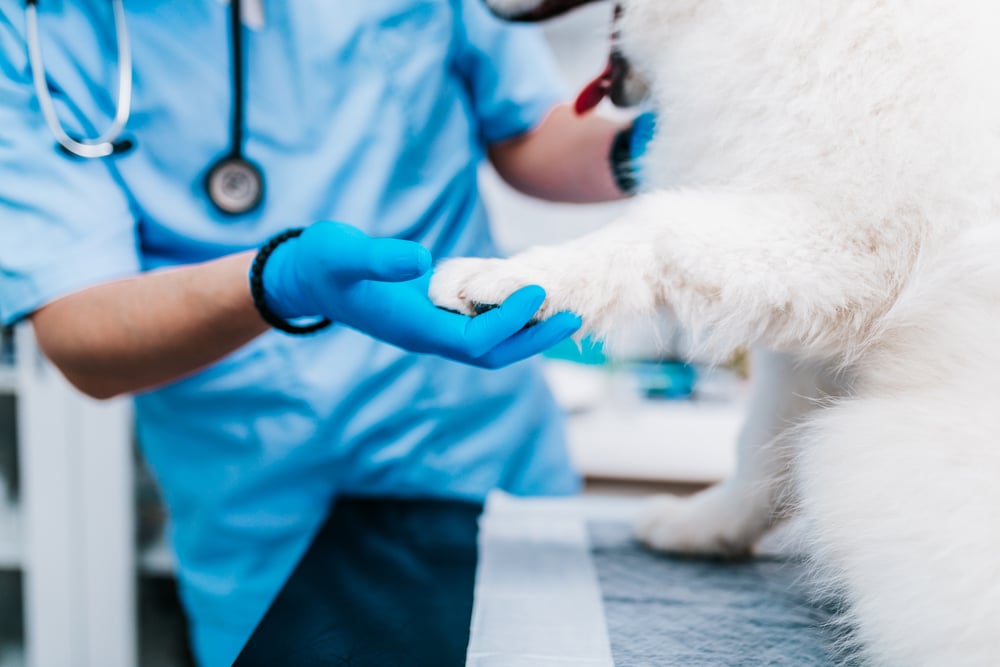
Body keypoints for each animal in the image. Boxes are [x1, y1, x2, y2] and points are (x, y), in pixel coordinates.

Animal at [432, 1, 1000, 667]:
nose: (474, 10)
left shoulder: (845, 243)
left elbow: (653, 226)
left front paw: (509, 275)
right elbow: (763, 449)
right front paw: (706, 528)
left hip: (876, 459)